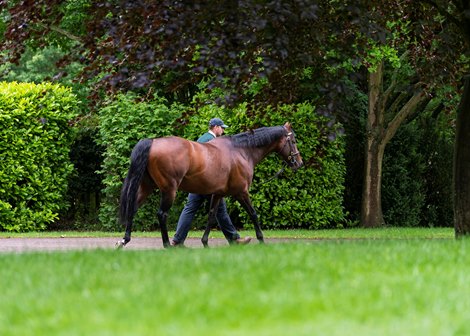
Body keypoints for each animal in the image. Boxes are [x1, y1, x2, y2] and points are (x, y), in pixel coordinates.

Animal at [115, 122, 302, 248]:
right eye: (293, 140)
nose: (299, 163)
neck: (241, 151)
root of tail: (153, 142)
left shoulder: (218, 193)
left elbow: (212, 216)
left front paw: (206, 242)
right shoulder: (241, 192)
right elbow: (253, 214)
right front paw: (261, 240)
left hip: (147, 187)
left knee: (132, 207)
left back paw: (124, 240)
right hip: (169, 190)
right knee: (162, 214)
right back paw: (167, 244)